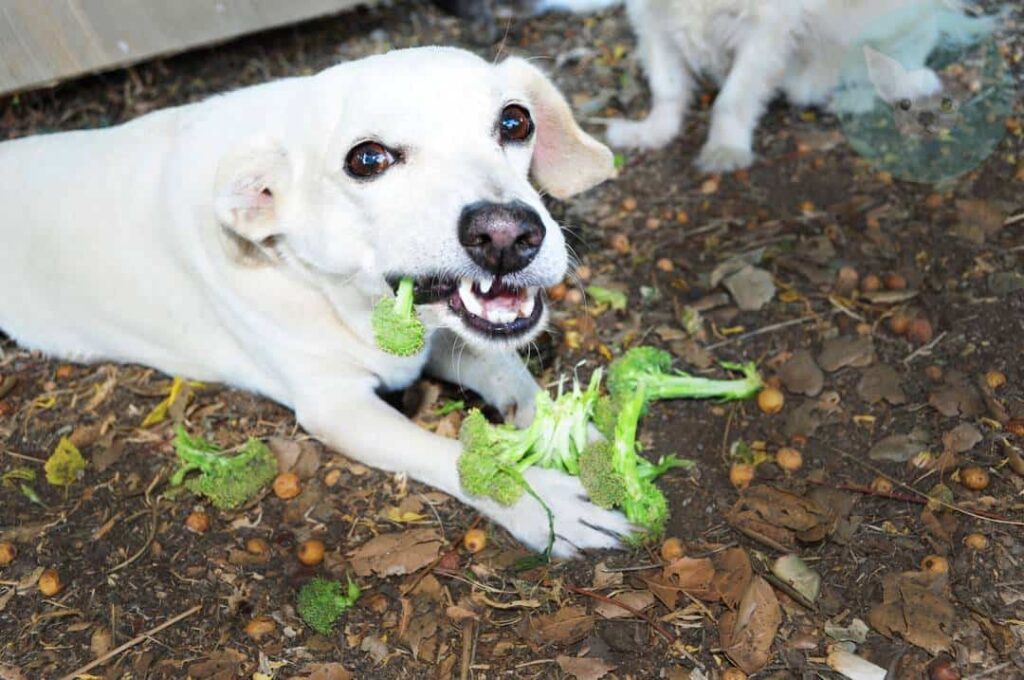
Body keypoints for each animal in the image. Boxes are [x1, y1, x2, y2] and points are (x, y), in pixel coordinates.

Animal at [0, 46, 630, 557]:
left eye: (515, 121)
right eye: (367, 159)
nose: (508, 234)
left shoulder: (443, 338)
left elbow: (512, 375)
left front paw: (579, 437)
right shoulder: (338, 408)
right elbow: (455, 458)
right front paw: (543, 503)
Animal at [598, 0, 983, 173]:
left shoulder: (763, 33)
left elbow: (733, 99)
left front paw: (725, 148)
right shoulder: (652, 22)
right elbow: (667, 88)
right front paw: (651, 133)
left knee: (912, 68)